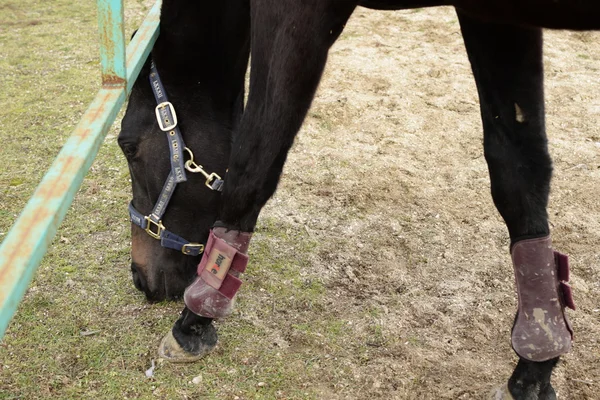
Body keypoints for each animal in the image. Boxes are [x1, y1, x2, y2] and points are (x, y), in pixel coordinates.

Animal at [119, 1, 596, 398]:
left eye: (127, 146)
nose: (140, 278)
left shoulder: (293, 14)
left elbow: (255, 161)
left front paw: (195, 320)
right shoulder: (498, 19)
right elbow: (519, 170)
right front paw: (537, 360)